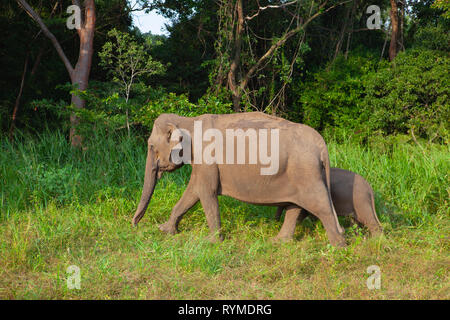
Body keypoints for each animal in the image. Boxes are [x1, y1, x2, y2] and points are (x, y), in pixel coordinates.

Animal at [132, 112, 346, 248]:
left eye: (151, 146)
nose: (134, 224)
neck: (188, 121)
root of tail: (321, 145)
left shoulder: (206, 159)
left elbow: (204, 191)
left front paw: (212, 242)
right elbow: (192, 192)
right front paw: (165, 230)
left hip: (306, 173)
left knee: (321, 206)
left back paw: (338, 247)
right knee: (295, 207)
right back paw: (279, 242)